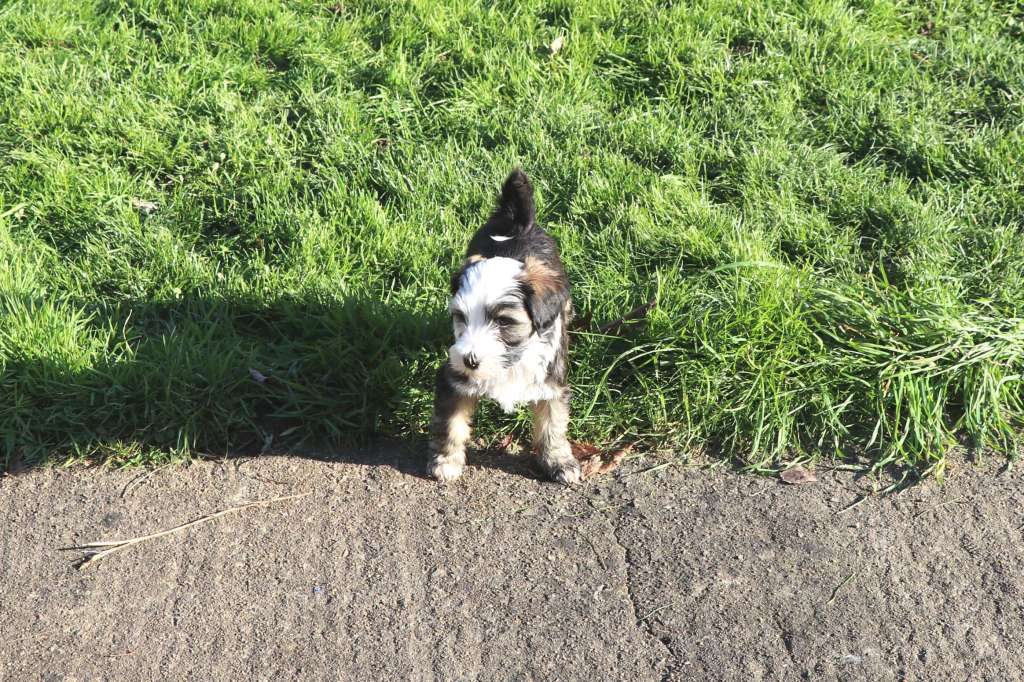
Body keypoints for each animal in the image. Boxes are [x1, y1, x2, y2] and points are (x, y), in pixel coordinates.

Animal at [427, 169, 581, 485]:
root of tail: (518, 221)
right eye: (460, 317)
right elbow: (451, 425)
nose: (470, 360)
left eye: (504, 321)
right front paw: (446, 462)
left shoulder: (553, 383)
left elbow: (554, 425)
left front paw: (559, 462)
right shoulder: (452, 380)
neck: (512, 361)